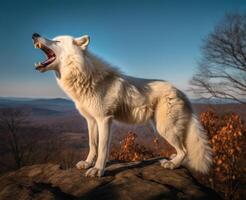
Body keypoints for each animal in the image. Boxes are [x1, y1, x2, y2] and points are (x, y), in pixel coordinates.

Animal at [31, 33, 212, 178]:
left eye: (57, 41)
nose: (34, 34)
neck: (85, 77)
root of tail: (182, 92)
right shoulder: (91, 120)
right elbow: (92, 145)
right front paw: (88, 163)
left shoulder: (104, 120)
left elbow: (102, 149)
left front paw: (97, 170)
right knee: (182, 151)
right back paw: (173, 160)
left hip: (164, 129)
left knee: (185, 151)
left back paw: (172, 164)